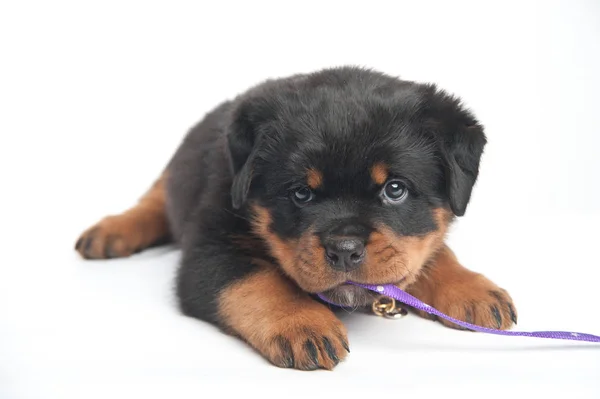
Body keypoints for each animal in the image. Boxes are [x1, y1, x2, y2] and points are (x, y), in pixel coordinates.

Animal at [74, 66, 516, 372]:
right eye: (301, 193)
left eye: (395, 189)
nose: (344, 249)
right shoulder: (210, 246)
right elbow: (257, 281)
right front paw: (301, 324)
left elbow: (430, 251)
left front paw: (471, 289)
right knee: (154, 198)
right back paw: (110, 232)